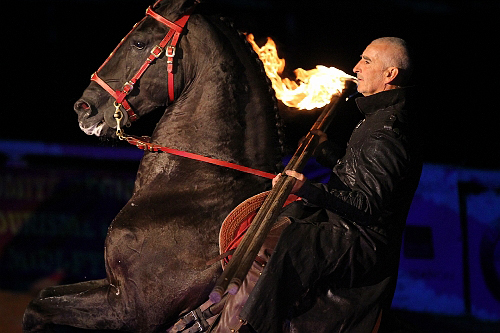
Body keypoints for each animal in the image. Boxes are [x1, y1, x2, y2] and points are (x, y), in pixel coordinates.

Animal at [23, 0, 284, 330]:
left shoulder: (129, 310)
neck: (195, 187)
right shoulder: (110, 286)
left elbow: (35, 310)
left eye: (139, 42)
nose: (84, 108)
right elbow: (44, 295)